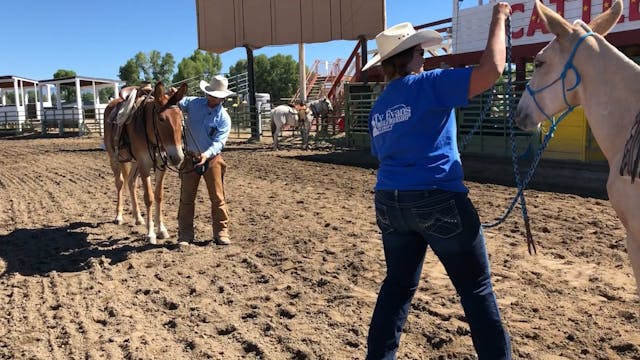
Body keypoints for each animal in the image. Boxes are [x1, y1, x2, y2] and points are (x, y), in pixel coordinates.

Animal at [104, 82, 189, 245]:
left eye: (181, 117)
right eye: (161, 119)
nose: (177, 157)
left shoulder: (160, 166)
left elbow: (159, 196)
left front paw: (161, 230)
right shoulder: (144, 165)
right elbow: (149, 197)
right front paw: (150, 234)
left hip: (134, 162)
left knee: (131, 182)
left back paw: (138, 218)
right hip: (115, 158)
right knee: (120, 183)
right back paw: (119, 217)